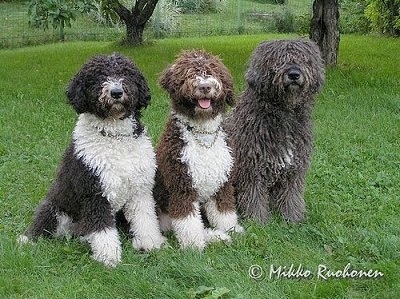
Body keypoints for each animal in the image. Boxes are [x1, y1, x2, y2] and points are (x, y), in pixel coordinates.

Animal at [18, 54, 166, 268]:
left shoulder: (140, 190)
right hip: (55, 207)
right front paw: (108, 256)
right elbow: (102, 229)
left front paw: (151, 243)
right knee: (43, 226)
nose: (116, 92)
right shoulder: (95, 194)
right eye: (98, 77)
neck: (114, 138)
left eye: (125, 73)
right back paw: (26, 240)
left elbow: (145, 219)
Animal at [154, 49, 244, 251]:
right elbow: (188, 222)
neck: (203, 136)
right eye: (189, 74)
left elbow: (224, 212)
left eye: (212, 72)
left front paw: (231, 229)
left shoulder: (222, 183)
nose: (204, 87)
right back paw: (213, 237)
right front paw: (193, 245)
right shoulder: (182, 186)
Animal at [225, 39, 324, 223]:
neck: (284, 114)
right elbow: (254, 195)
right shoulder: (252, 168)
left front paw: (293, 217)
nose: (294, 74)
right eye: (280, 60)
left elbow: (291, 194)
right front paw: (258, 220)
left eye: (303, 59)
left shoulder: (294, 168)